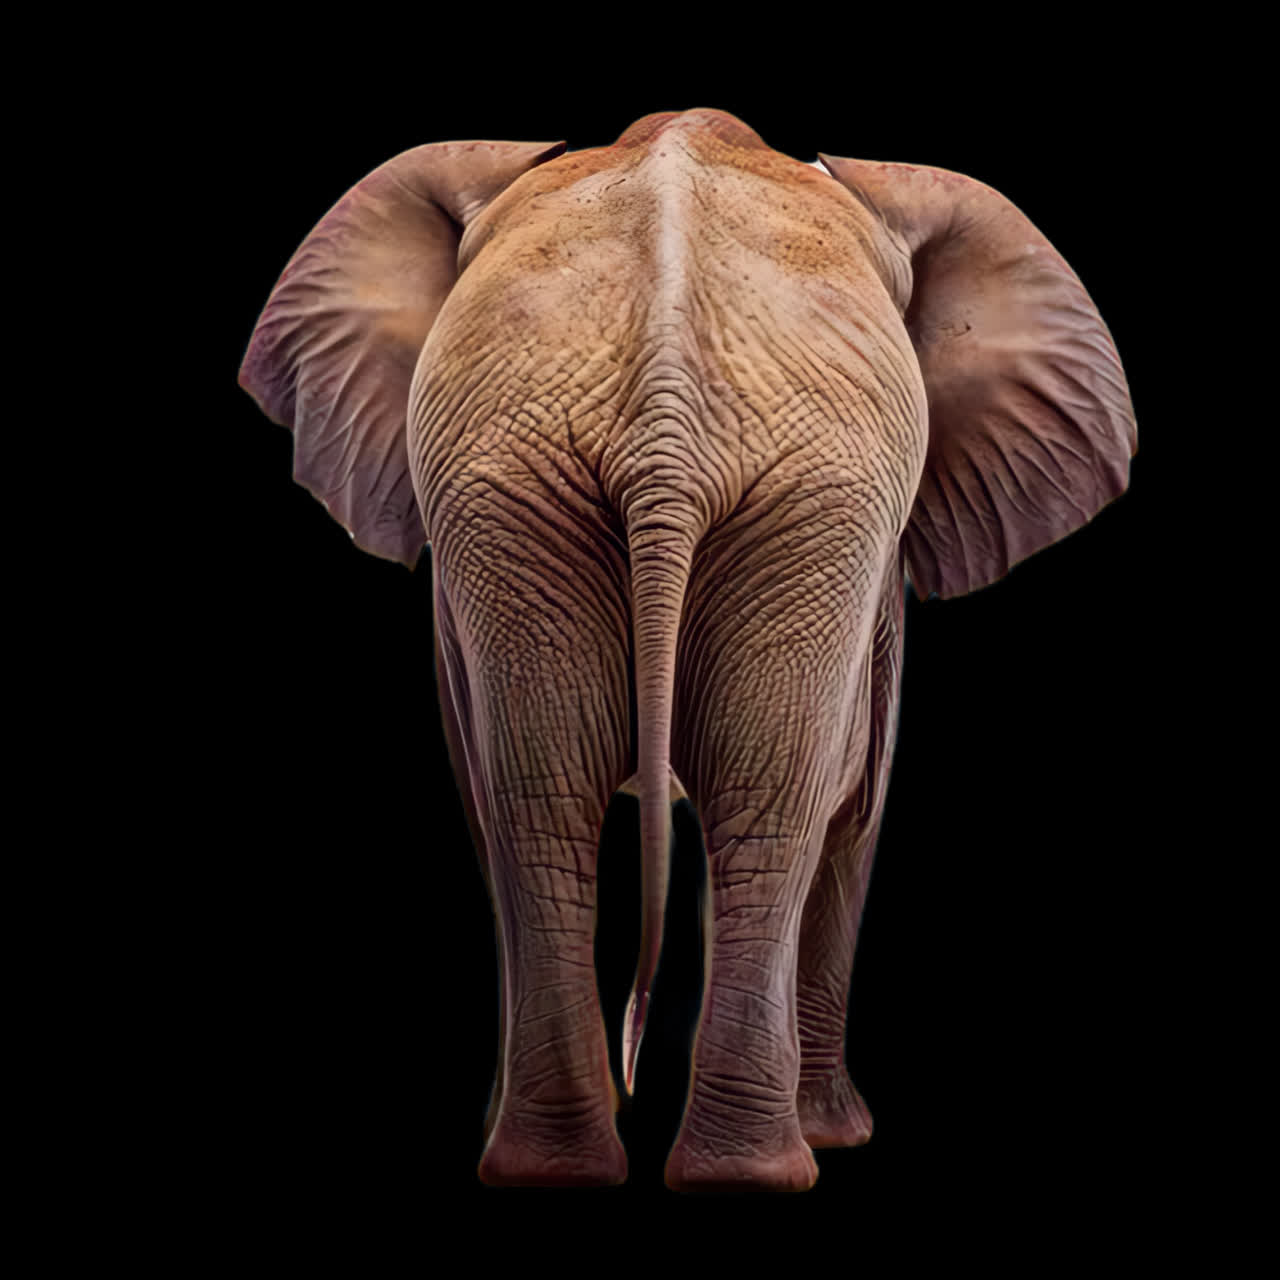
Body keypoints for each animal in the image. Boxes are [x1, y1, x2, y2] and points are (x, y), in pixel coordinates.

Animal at [238, 107, 1136, 1193]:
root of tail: (664, 425)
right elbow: (854, 803)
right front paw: (839, 1136)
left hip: (637, 491)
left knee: (601, 803)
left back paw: (642, 1170)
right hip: (589, 486)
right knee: (688, 807)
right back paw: (704, 1168)